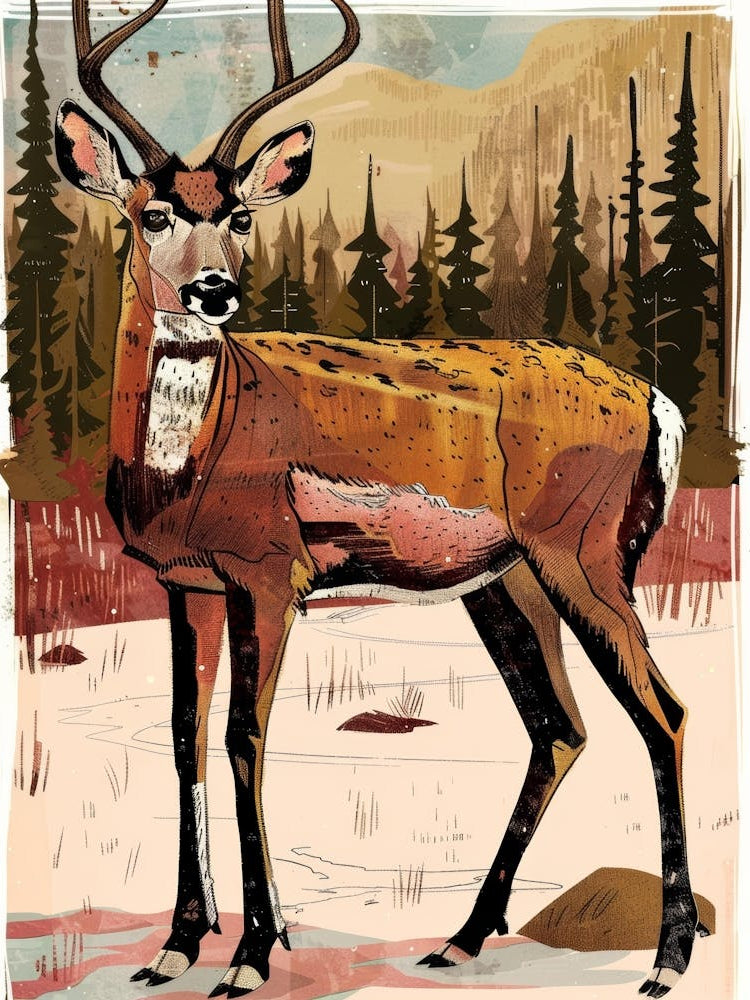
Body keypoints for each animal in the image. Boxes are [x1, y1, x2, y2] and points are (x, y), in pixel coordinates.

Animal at [53, 1, 704, 997]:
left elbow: (244, 736)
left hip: (583, 551)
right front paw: (176, 945)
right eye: (151, 212)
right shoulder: (184, 581)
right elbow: (182, 735)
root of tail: (658, 402)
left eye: (238, 214)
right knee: (560, 726)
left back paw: (667, 960)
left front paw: (251, 953)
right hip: (506, 581)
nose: (214, 290)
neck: (191, 460)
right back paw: (461, 937)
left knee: (661, 711)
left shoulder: (271, 569)